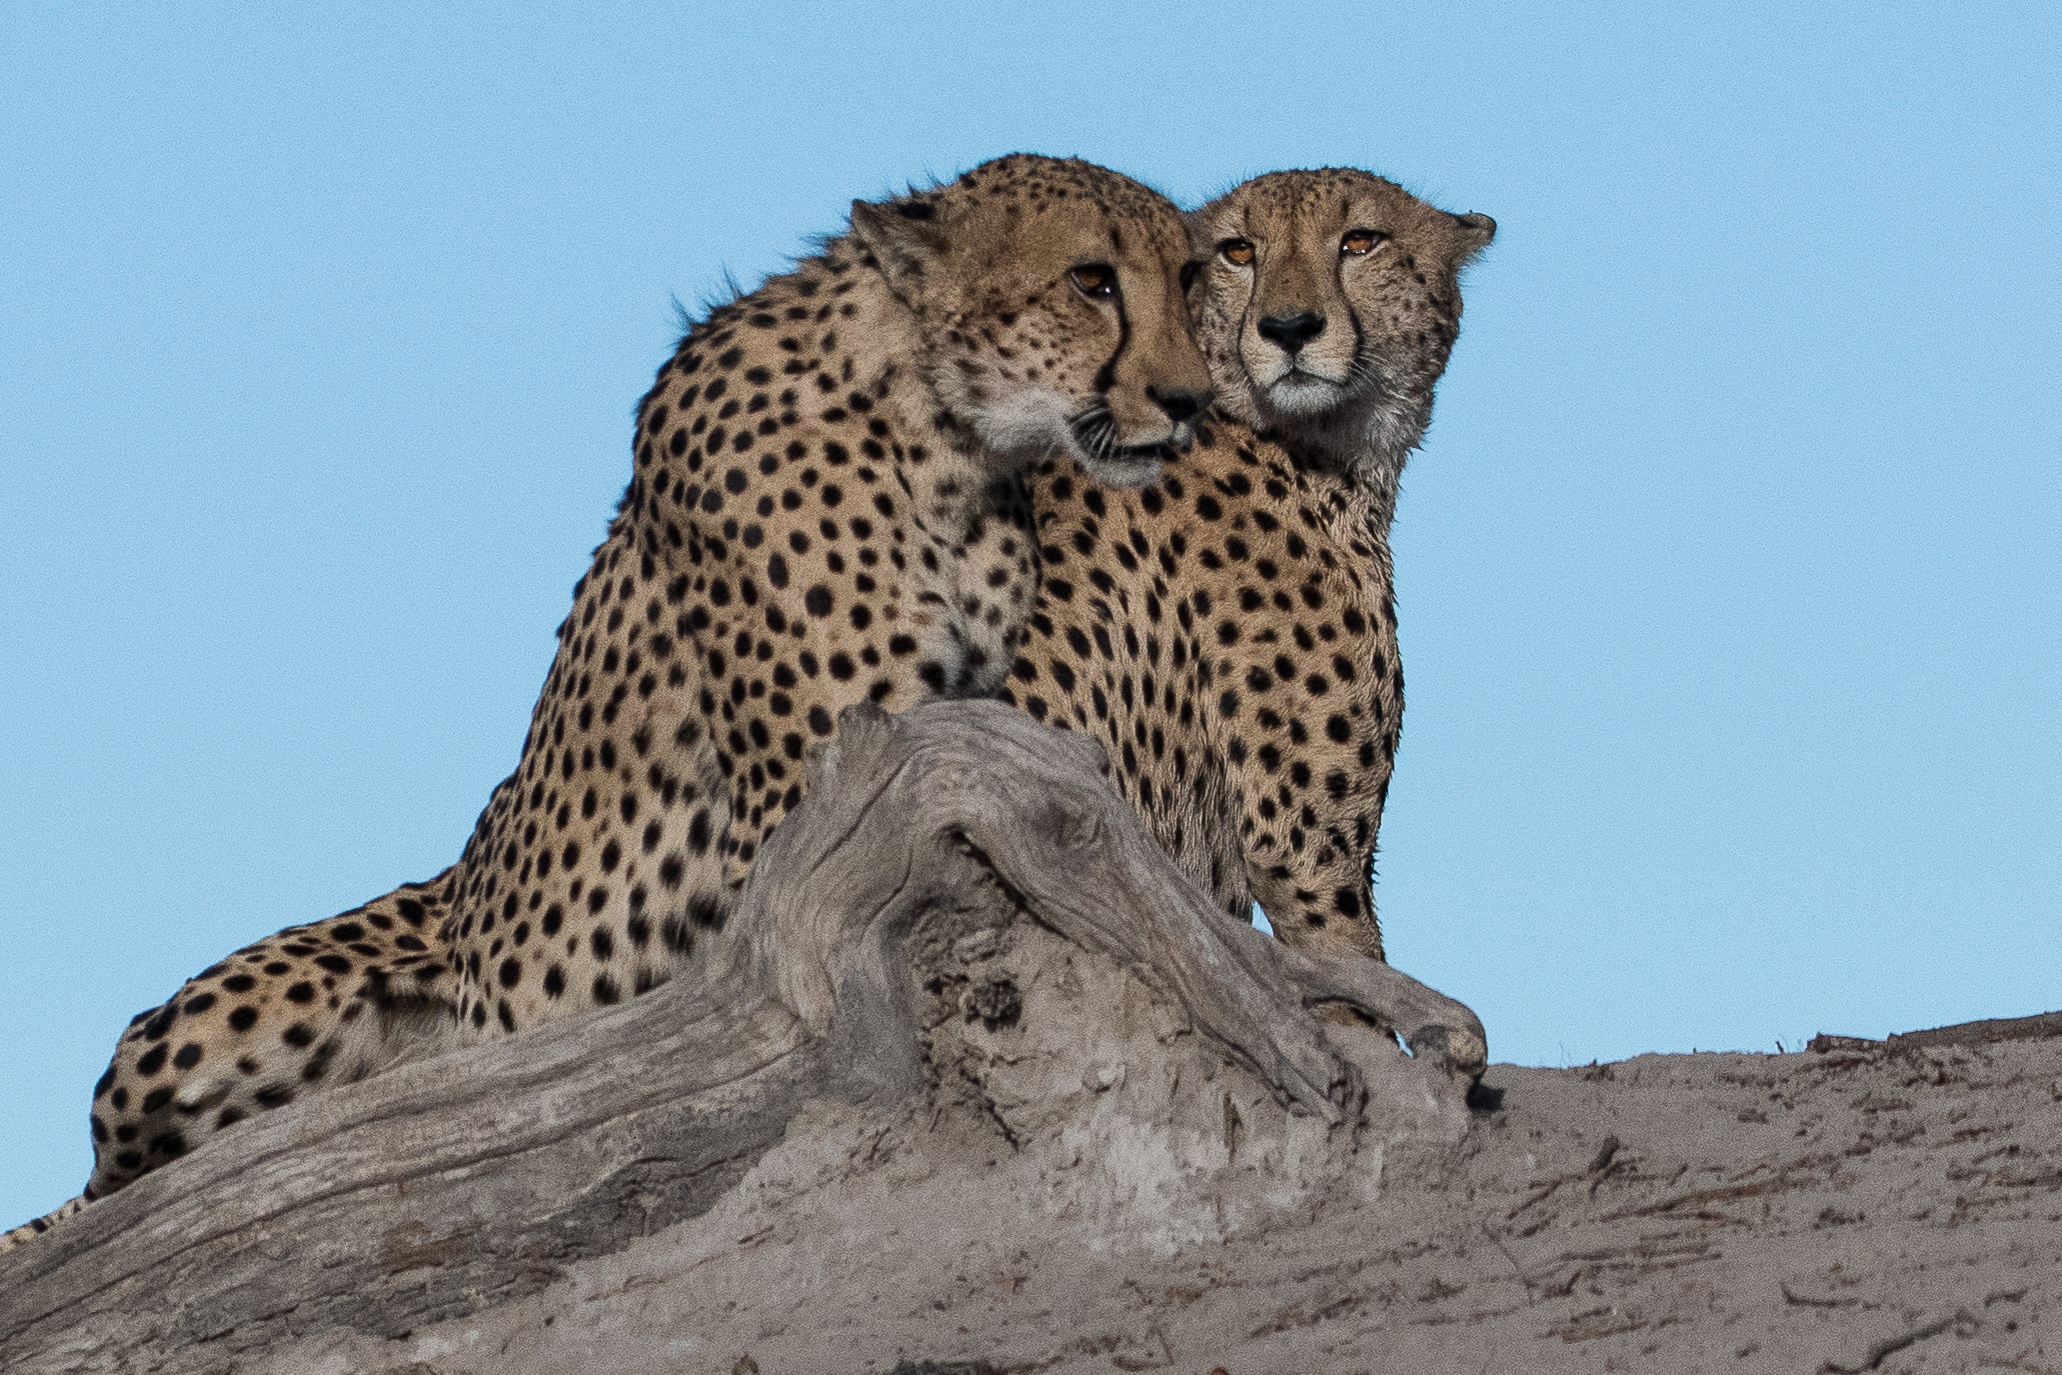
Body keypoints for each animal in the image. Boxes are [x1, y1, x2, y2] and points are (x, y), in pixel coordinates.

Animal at [8, 155, 1204, 1253]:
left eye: (1189, 277)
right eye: (1092, 280)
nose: (1189, 400)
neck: (939, 432)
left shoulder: (939, 747)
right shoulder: (815, 796)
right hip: (219, 1026)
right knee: (104, 1195)